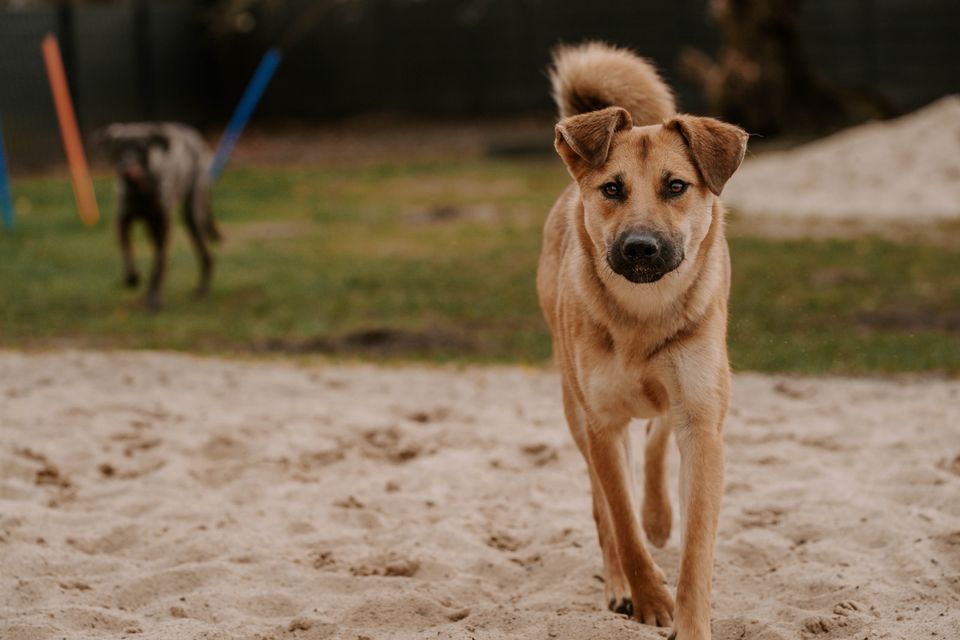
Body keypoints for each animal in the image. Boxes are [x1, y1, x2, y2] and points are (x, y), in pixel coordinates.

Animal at [101, 123, 221, 310]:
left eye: (141, 147)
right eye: (118, 147)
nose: (127, 168)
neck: (140, 191)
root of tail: (195, 137)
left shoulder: (164, 226)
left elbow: (158, 262)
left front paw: (154, 297)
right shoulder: (123, 221)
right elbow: (126, 250)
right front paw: (132, 277)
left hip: (192, 216)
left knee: (206, 256)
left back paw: (201, 289)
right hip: (154, 226)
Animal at [536, 42, 748, 636]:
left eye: (676, 186)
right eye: (613, 189)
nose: (639, 247)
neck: (641, 315)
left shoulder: (702, 421)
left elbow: (696, 548)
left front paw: (690, 621)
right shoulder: (601, 425)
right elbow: (621, 524)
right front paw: (649, 598)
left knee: (655, 440)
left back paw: (658, 515)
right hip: (573, 405)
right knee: (603, 507)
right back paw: (617, 584)